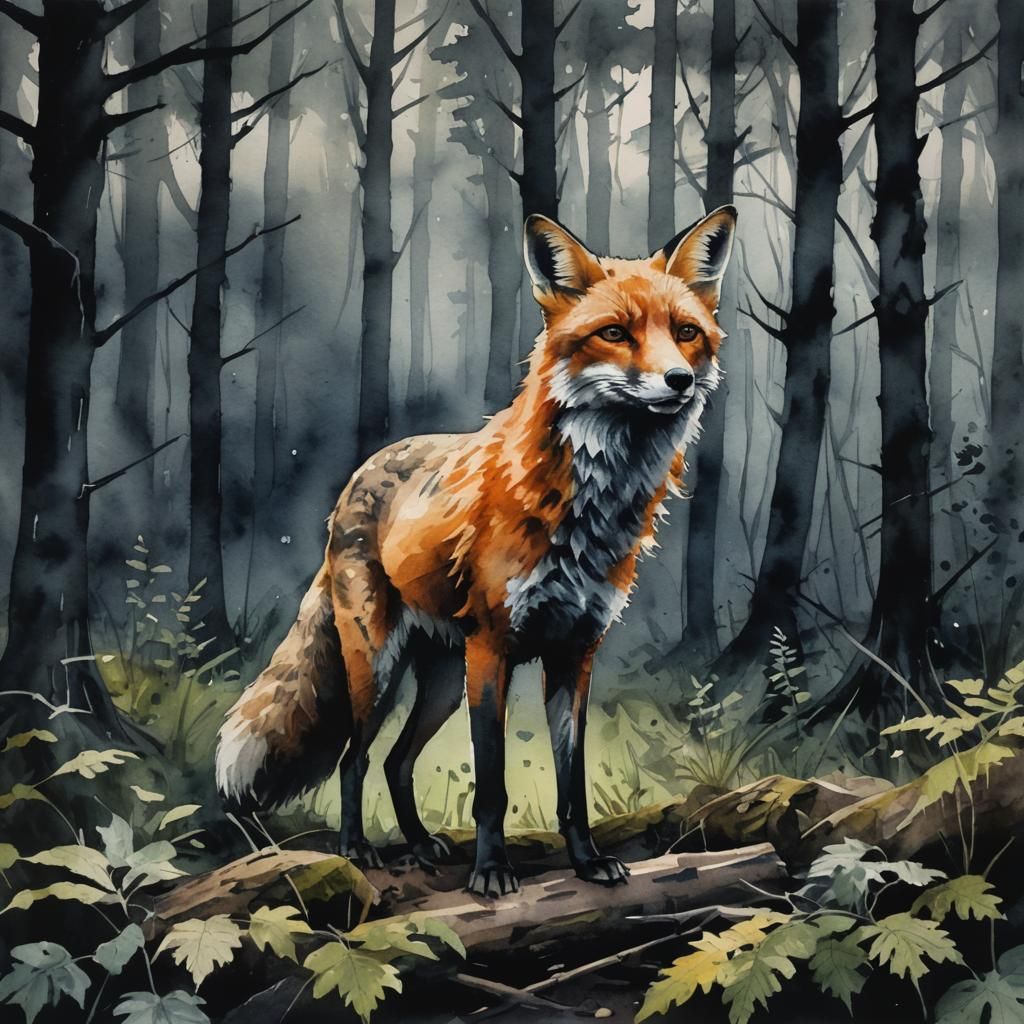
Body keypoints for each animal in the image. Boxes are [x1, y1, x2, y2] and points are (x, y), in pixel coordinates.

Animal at [216, 205, 737, 897]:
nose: (678, 380)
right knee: (355, 760)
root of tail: (358, 476)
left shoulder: (575, 654)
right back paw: (357, 849)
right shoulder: (493, 649)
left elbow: (571, 786)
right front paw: (492, 872)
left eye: (685, 333)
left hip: (440, 679)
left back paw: (419, 844)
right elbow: (492, 785)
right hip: (380, 669)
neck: (586, 510)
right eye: (615, 334)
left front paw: (587, 861)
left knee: (395, 761)